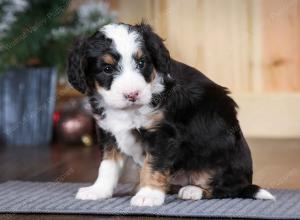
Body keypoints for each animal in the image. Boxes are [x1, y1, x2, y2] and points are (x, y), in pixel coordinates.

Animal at [67, 22, 274, 206]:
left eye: (141, 63)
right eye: (107, 69)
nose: (132, 94)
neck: (129, 111)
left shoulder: (163, 134)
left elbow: (153, 165)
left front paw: (148, 195)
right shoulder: (108, 132)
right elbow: (107, 166)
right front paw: (98, 190)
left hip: (222, 160)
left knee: (228, 189)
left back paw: (193, 190)